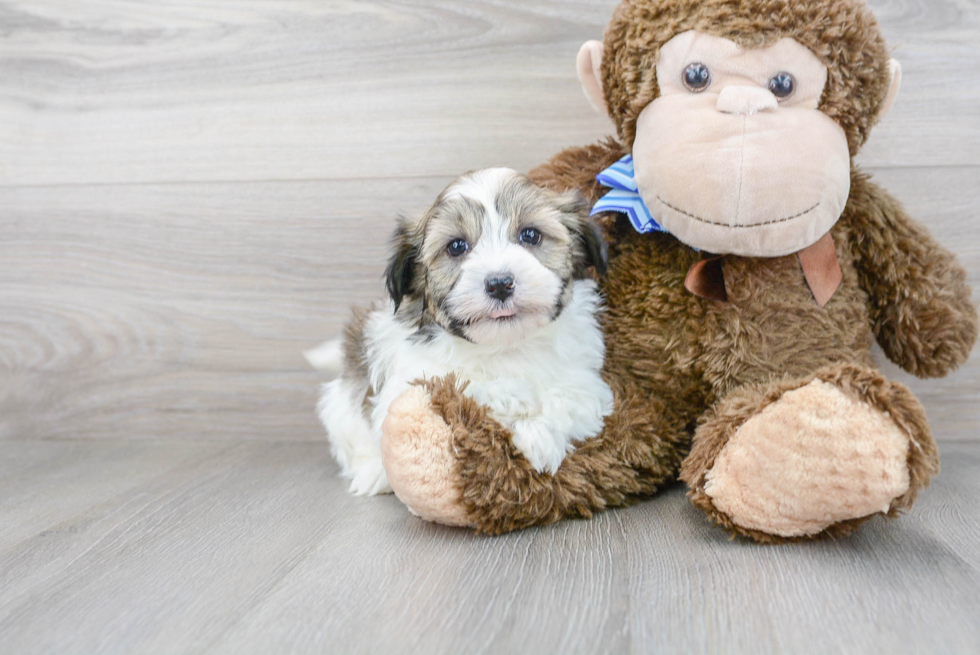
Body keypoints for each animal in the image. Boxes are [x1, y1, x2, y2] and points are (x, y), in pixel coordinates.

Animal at [306, 167, 612, 494]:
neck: (504, 345)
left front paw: (539, 437)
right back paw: (374, 472)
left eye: (530, 235)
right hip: (340, 408)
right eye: (456, 246)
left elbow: (571, 397)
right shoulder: (407, 383)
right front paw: (514, 397)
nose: (500, 283)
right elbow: (453, 384)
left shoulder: (587, 383)